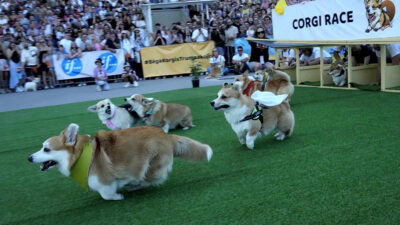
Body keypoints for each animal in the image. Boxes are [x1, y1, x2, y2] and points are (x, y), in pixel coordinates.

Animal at [28, 123, 212, 200]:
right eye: (42, 147)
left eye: (46, 149)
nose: (29, 158)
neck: (81, 156)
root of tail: (168, 136)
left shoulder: (104, 182)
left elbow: (106, 195)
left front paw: (118, 196)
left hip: (149, 164)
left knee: (147, 180)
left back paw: (133, 186)